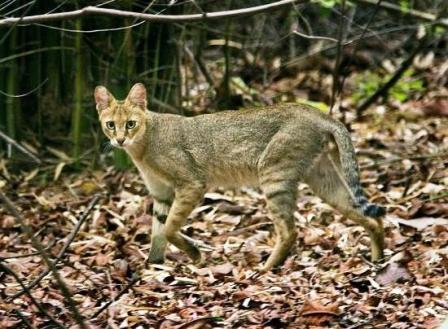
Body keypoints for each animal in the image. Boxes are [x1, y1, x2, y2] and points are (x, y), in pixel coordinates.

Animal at [93, 83, 384, 270]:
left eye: (130, 124)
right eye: (110, 125)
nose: (120, 140)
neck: (142, 147)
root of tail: (317, 111)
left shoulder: (191, 184)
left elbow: (169, 228)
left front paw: (194, 255)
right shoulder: (161, 193)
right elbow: (158, 232)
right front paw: (153, 266)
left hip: (273, 175)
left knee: (290, 231)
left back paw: (265, 269)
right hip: (323, 179)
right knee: (370, 216)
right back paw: (379, 257)